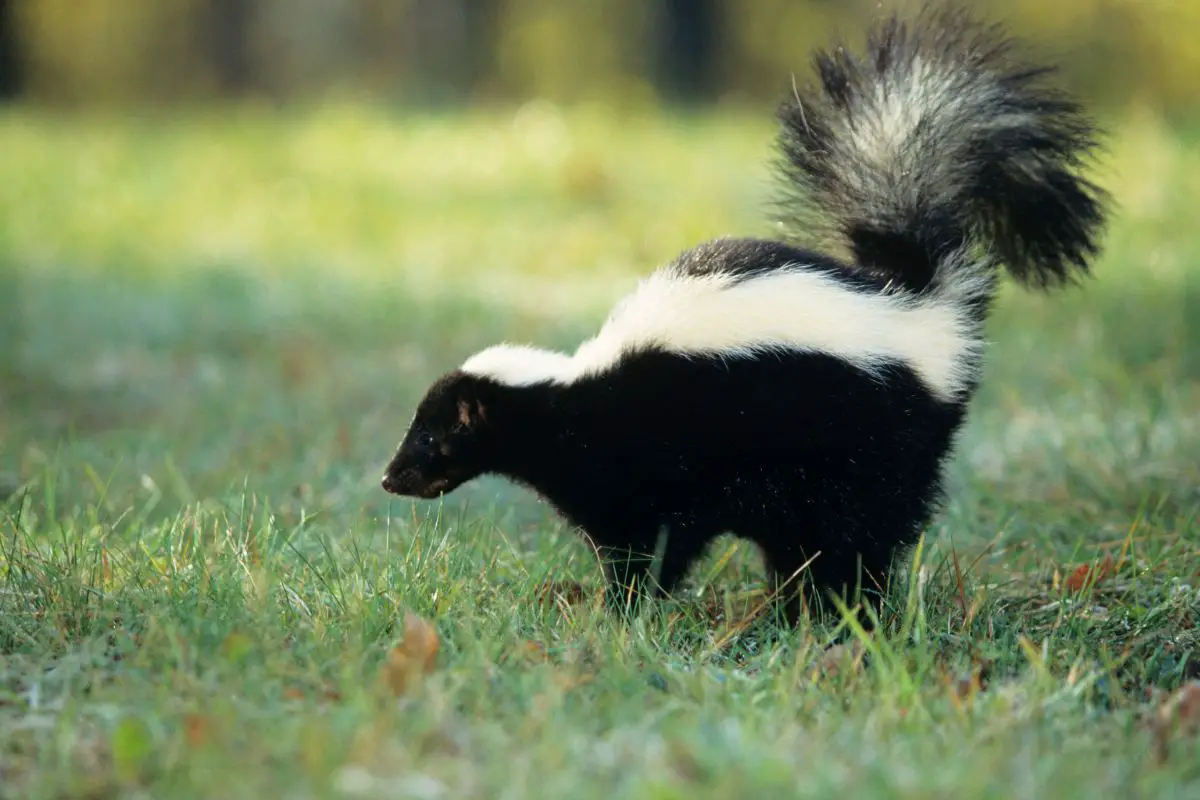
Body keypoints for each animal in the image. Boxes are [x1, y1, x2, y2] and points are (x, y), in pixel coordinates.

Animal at [381, 3, 1104, 623]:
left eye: (431, 436)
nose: (390, 477)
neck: (572, 394)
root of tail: (915, 298)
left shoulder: (648, 470)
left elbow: (652, 546)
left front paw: (626, 612)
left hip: (868, 449)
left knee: (863, 537)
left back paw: (849, 614)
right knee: (806, 544)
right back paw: (796, 609)